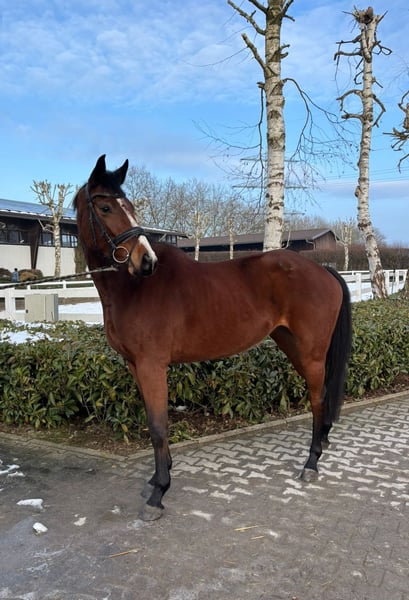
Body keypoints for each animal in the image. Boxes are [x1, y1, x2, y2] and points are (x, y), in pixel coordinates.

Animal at [74, 155, 352, 521]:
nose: (146, 261)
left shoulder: (152, 366)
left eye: (129, 207)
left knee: (318, 400)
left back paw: (311, 463)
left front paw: (158, 494)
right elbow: (153, 422)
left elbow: (158, 426)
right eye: (105, 207)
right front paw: (156, 479)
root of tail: (323, 270)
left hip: (311, 351)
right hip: (292, 344)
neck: (132, 288)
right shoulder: (135, 366)